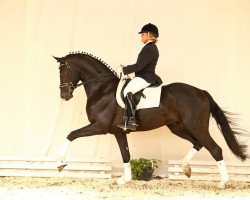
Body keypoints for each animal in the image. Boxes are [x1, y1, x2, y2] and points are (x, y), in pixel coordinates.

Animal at [53, 52, 247, 188]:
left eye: (64, 70)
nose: (64, 95)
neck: (102, 89)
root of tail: (201, 92)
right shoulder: (118, 131)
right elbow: (126, 155)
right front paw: (125, 180)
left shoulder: (99, 126)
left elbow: (71, 134)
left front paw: (61, 163)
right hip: (177, 127)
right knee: (198, 144)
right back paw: (186, 169)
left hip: (197, 127)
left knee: (215, 149)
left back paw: (223, 182)